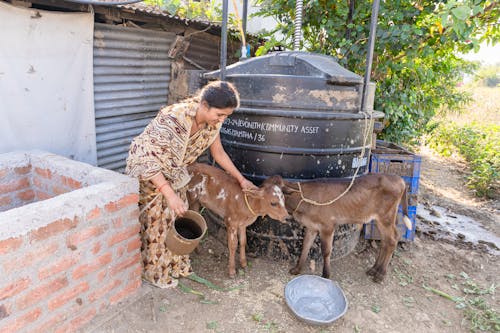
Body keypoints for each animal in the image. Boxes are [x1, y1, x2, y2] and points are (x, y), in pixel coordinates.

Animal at [282, 172, 410, 282]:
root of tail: (399, 179)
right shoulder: (311, 226)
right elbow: (305, 246)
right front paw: (297, 269)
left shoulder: (327, 226)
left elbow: (326, 251)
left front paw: (326, 275)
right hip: (380, 219)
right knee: (386, 240)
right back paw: (374, 269)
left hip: (386, 217)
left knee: (393, 239)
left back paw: (380, 274)